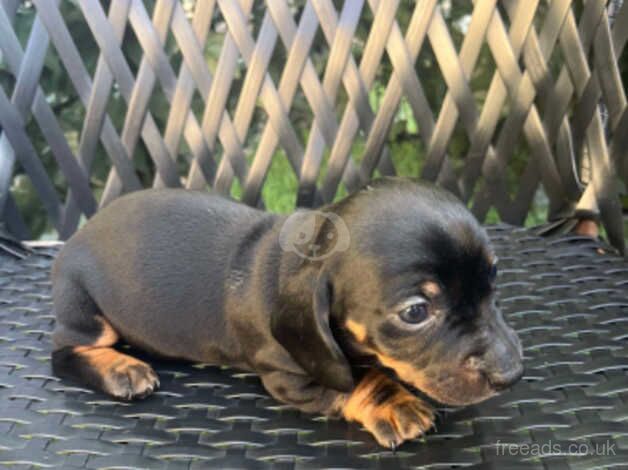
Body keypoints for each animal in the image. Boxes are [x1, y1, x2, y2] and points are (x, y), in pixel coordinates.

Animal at [49, 177, 524, 448]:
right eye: (416, 312)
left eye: (493, 279)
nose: (511, 373)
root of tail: (74, 240)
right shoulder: (290, 377)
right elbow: (357, 380)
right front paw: (394, 404)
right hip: (85, 309)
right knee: (63, 354)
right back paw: (121, 370)